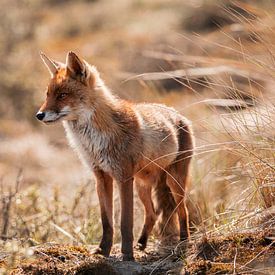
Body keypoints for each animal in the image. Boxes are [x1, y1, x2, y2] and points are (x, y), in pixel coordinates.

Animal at [36, 51, 195, 260]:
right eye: (47, 95)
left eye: (62, 95)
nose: (39, 115)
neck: (94, 141)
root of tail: (178, 114)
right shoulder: (101, 177)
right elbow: (107, 222)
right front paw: (103, 250)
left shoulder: (123, 177)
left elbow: (125, 222)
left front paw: (126, 255)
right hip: (142, 186)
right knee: (153, 214)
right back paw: (142, 243)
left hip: (174, 181)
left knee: (182, 211)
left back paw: (184, 241)